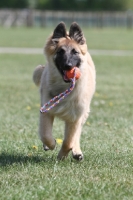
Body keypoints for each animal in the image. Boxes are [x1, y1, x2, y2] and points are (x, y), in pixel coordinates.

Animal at [33, 21, 95, 161]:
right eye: (60, 52)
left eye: (75, 52)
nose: (68, 66)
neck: (64, 87)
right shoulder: (46, 110)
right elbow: (45, 134)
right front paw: (51, 144)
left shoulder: (75, 117)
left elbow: (69, 141)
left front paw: (62, 156)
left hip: (83, 113)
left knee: (76, 134)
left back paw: (77, 152)